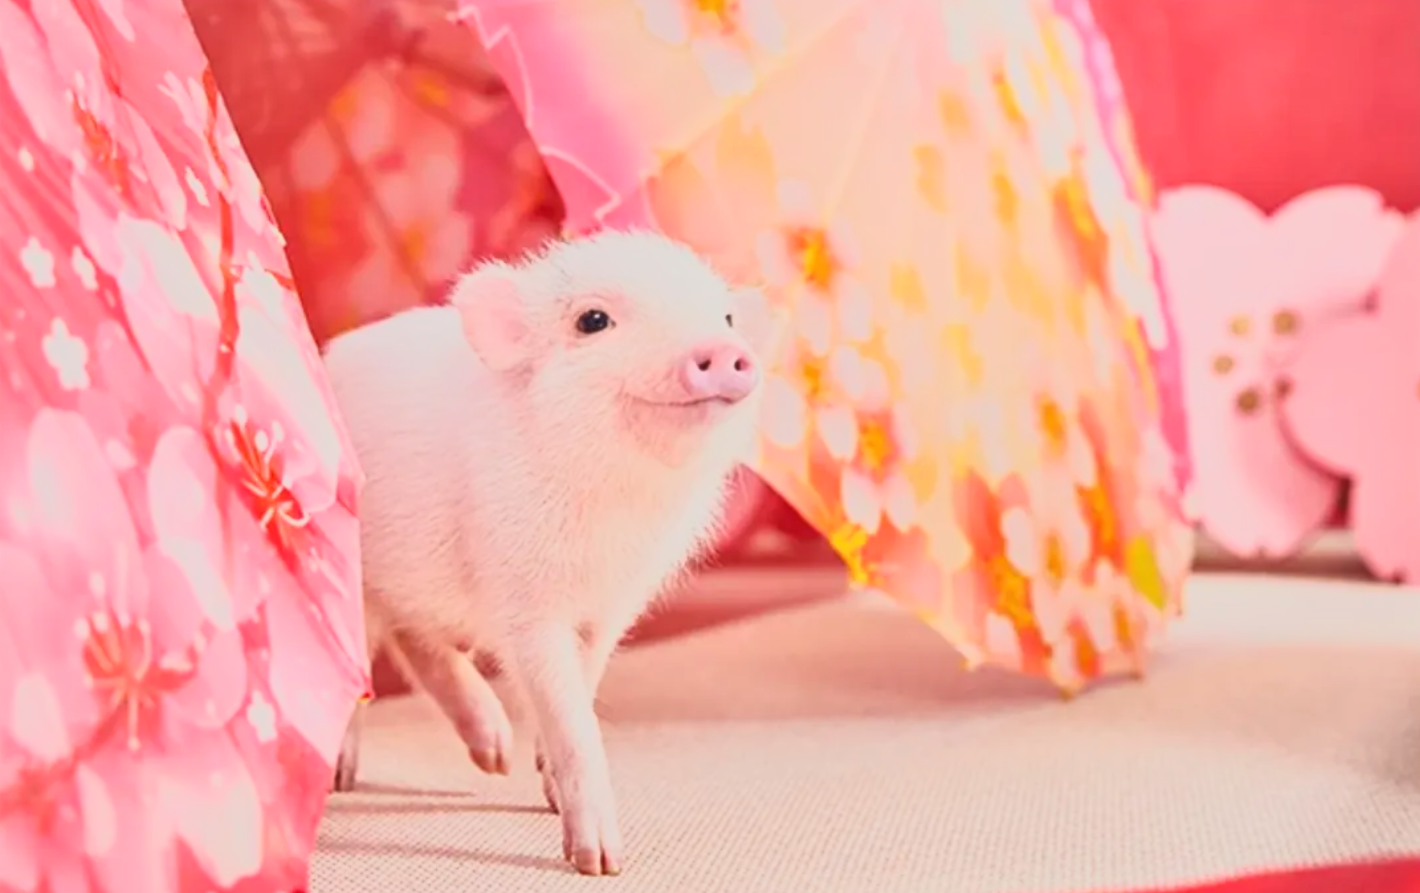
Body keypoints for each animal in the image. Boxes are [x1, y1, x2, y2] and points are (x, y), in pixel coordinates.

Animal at [321, 229, 773, 876]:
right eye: (593, 320)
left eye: (727, 316)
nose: (722, 349)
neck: (612, 507)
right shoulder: (525, 600)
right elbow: (567, 712)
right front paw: (600, 863)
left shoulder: (612, 605)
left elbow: (583, 684)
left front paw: (545, 789)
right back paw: (342, 779)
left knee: (414, 641)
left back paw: (493, 756)